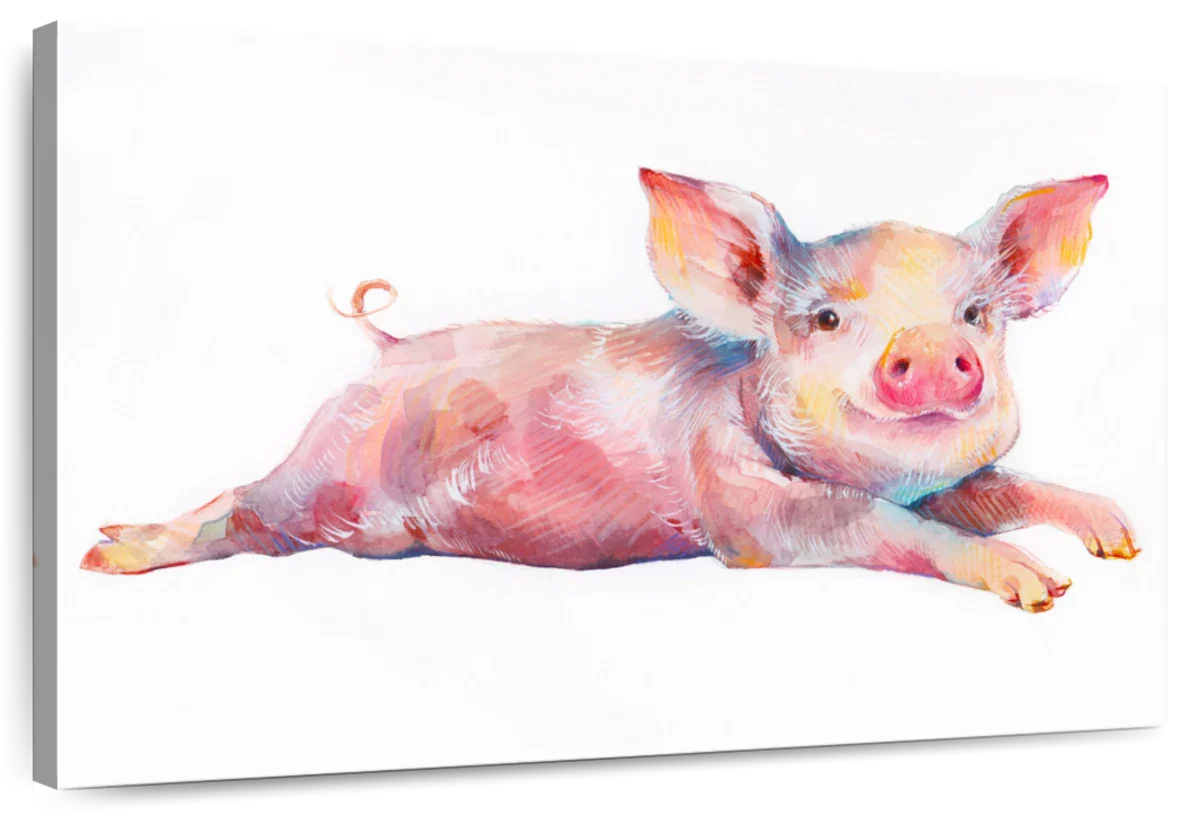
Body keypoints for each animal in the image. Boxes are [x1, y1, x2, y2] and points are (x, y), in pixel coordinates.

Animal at [81, 168, 1137, 612]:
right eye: (826, 320)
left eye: (976, 314)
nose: (929, 349)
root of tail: (383, 352)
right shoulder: (740, 511)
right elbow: (871, 526)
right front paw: (1043, 590)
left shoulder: (940, 482)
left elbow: (997, 489)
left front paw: (1118, 542)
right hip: (321, 474)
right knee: (237, 507)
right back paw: (109, 555)